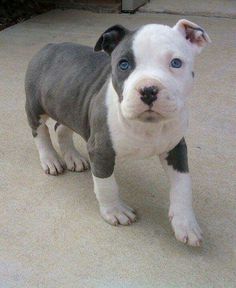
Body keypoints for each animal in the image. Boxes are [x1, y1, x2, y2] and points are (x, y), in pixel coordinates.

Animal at [25, 19, 210, 245]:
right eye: (124, 64)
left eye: (176, 63)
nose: (148, 90)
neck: (147, 126)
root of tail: (49, 46)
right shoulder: (101, 150)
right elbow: (106, 185)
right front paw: (114, 211)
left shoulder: (175, 148)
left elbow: (183, 186)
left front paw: (186, 224)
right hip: (35, 106)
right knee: (40, 131)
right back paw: (50, 159)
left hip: (68, 104)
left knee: (60, 127)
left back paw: (73, 157)